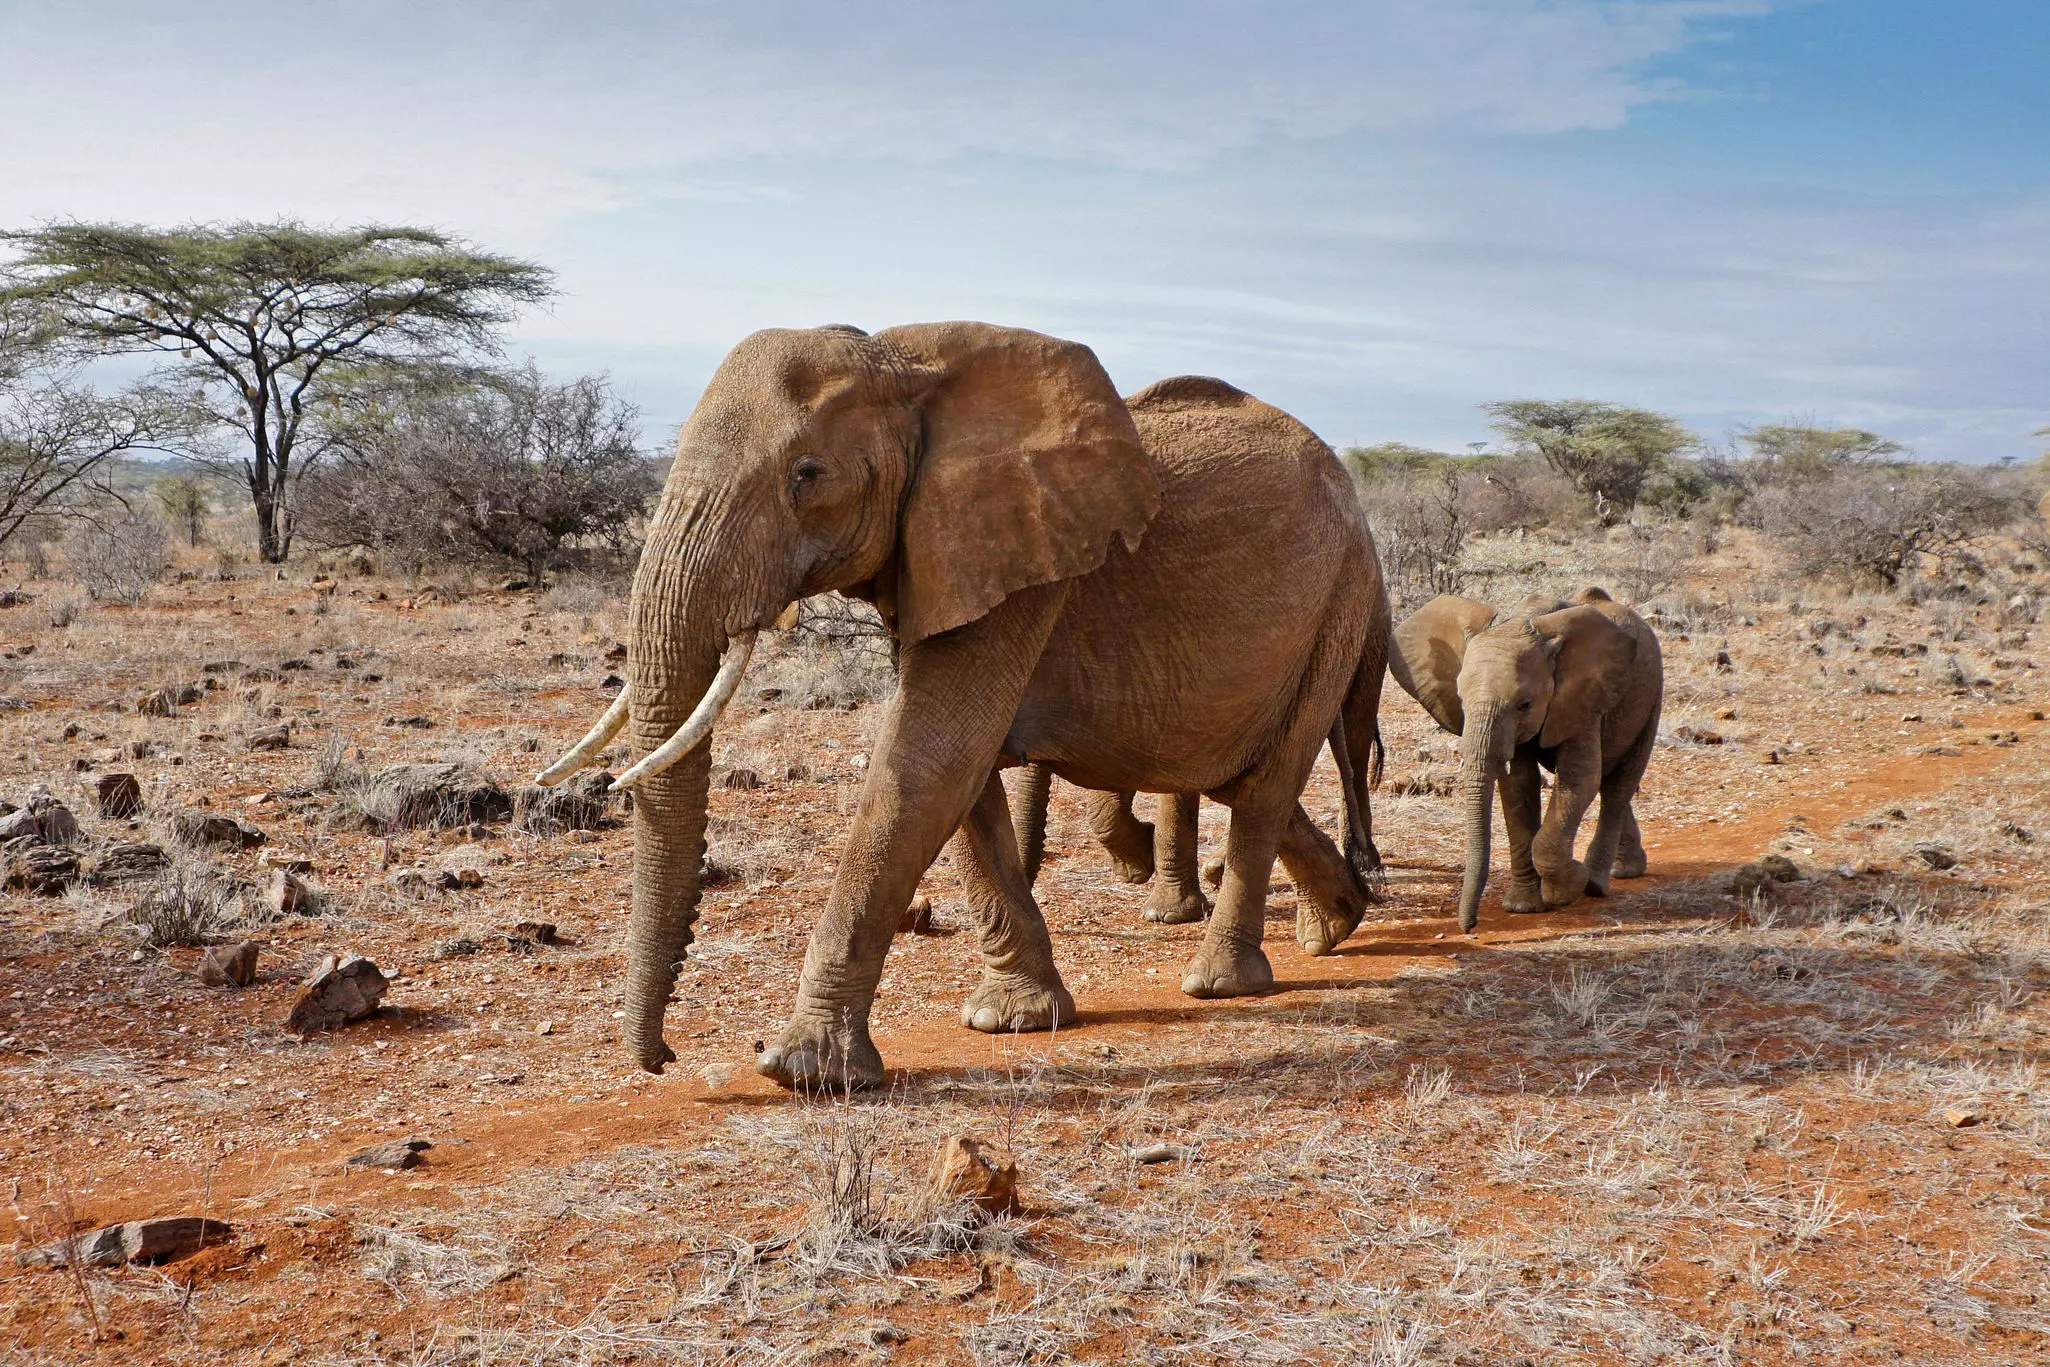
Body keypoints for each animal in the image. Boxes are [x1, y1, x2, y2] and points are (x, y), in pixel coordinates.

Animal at [536, 322, 1387, 1090]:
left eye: (807, 473)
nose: (662, 1060)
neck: (900, 362)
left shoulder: (1022, 562)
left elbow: (929, 759)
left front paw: (803, 1070)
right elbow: (961, 774)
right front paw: (1014, 1019)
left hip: (1344, 592)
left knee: (1267, 782)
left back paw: (1222, 981)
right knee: (1237, 776)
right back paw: (1337, 921)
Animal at [1386, 587, 1662, 932]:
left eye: (1525, 705)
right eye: (1461, 700)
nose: (1469, 927)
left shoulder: (1582, 700)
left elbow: (1579, 778)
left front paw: (1570, 884)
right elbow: (1518, 784)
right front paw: (1522, 907)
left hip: (1651, 695)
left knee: (1618, 784)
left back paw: (1598, 883)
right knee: (1608, 781)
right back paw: (1624, 870)